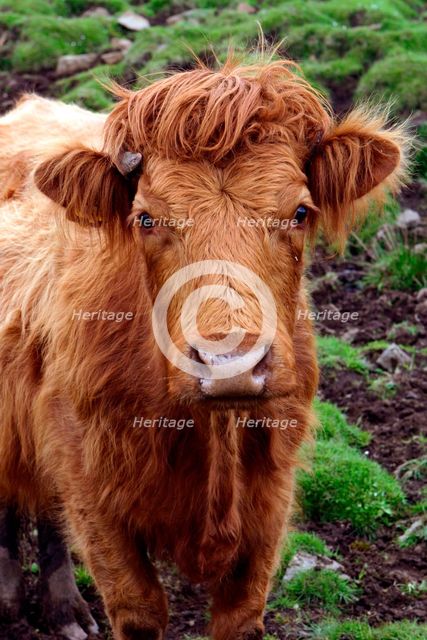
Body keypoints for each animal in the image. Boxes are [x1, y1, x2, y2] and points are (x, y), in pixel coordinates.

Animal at [0, 56, 407, 640]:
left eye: (300, 212)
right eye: (146, 217)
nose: (229, 367)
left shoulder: (270, 503)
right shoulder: (91, 490)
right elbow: (139, 609)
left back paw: (64, 610)